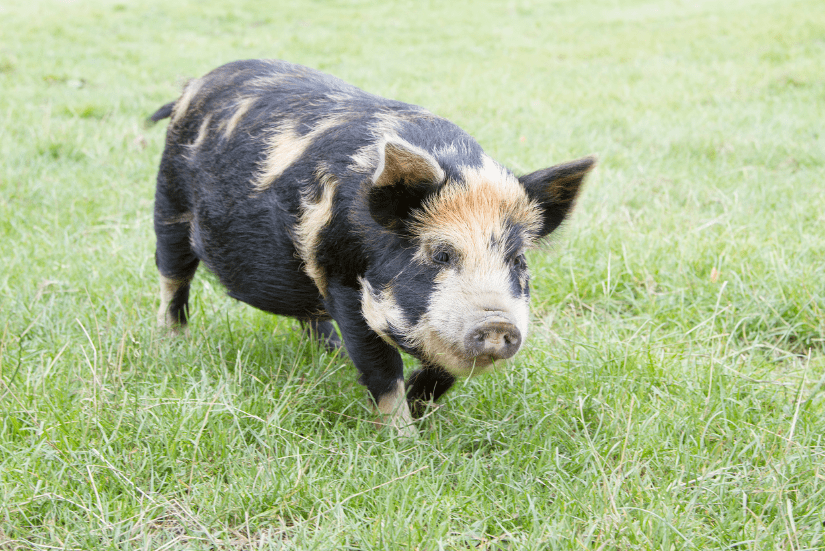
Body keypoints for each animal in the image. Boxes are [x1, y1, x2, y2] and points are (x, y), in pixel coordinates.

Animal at [151, 60, 596, 438]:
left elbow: (441, 372)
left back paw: (331, 354)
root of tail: (194, 85)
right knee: (173, 277)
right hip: (169, 204)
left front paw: (419, 410)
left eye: (517, 260)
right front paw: (404, 440)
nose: (498, 323)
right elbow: (381, 366)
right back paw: (172, 342)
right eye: (441, 254)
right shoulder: (342, 279)